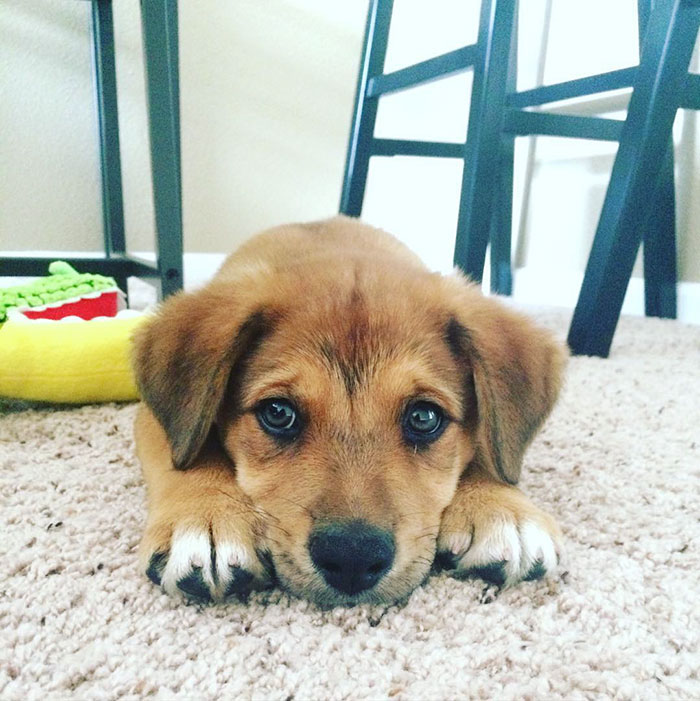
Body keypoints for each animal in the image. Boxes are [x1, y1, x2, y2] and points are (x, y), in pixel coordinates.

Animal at [133, 219, 568, 608]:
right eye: (278, 412)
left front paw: (501, 508)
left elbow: (492, 447)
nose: (353, 558)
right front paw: (209, 518)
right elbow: (188, 455)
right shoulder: (152, 418)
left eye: (424, 418)